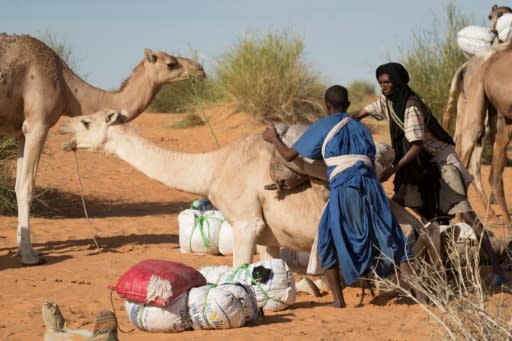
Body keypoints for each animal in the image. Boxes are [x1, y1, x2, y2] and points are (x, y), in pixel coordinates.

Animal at [2, 33, 207, 264]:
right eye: (171, 63)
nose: (200, 69)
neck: (66, 87)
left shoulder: (21, 131)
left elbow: (18, 184)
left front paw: (23, 249)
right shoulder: (38, 123)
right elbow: (26, 187)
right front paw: (29, 256)